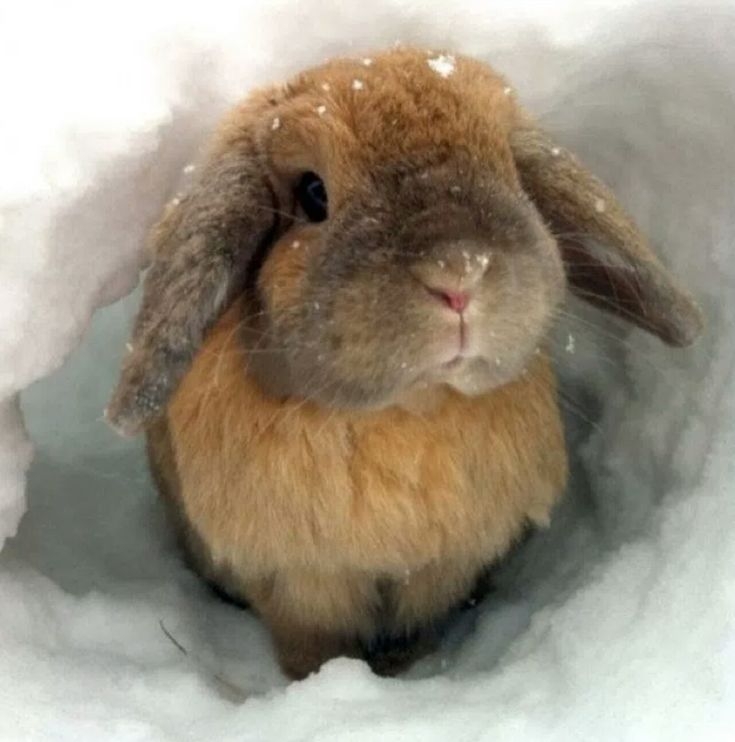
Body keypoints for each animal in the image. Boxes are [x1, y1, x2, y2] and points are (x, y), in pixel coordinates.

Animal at [106, 48, 703, 680]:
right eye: (312, 193)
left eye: (512, 175)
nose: (458, 271)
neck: (409, 413)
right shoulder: (301, 582)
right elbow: (311, 645)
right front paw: (318, 680)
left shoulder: (440, 569)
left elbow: (418, 625)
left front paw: (405, 666)